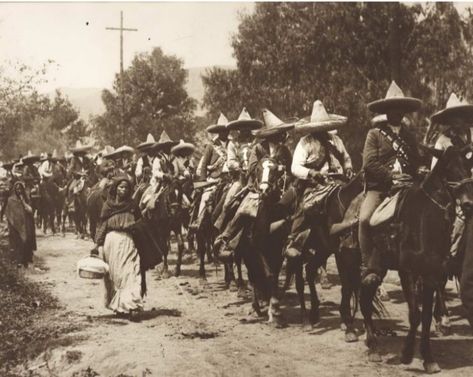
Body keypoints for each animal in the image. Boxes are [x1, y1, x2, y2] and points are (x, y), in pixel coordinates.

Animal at [360, 145, 473, 372]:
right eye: (448, 167)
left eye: (468, 165)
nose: (468, 203)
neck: (423, 220)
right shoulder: (408, 273)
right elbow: (414, 314)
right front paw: (406, 354)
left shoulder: (431, 274)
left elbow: (426, 316)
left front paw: (428, 358)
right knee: (363, 297)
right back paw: (372, 346)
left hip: (379, 267)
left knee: (366, 295)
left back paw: (371, 341)